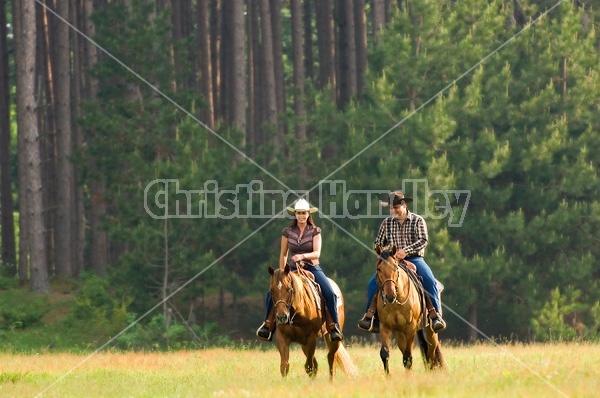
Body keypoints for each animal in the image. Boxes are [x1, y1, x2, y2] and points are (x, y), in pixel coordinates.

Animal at [376, 244, 446, 374]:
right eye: (379, 269)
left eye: (395, 268)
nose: (390, 296)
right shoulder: (385, 327)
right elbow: (385, 354)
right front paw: (388, 376)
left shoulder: (410, 328)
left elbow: (408, 357)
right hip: (400, 333)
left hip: (430, 331)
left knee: (431, 352)